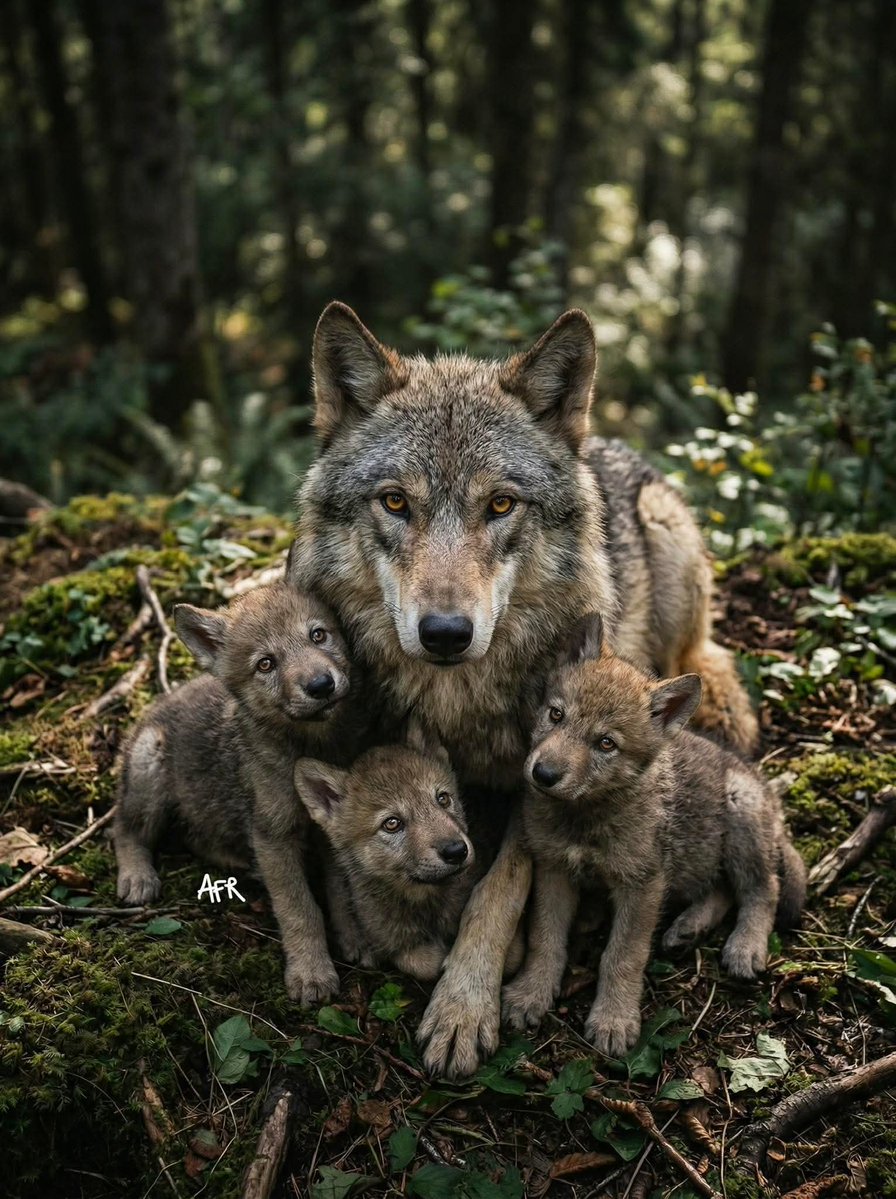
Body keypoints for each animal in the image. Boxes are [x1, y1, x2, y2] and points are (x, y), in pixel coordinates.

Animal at [114, 581, 360, 1005]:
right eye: (265, 664)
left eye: (318, 635)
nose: (320, 685)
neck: (306, 746)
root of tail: (154, 705)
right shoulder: (274, 835)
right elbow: (300, 908)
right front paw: (311, 973)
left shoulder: (328, 828)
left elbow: (340, 890)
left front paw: (354, 937)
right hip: (149, 767)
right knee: (123, 827)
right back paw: (136, 876)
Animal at [288, 301, 759, 1076]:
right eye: (396, 502)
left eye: (501, 505)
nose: (445, 632)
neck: (455, 703)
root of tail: (606, 446)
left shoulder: (527, 794)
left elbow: (497, 893)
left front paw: (463, 1009)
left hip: (671, 548)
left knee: (703, 652)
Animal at [502, 612, 806, 1057]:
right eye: (556, 716)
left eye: (606, 743)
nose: (543, 774)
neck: (585, 817)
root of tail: (768, 791)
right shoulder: (554, 870)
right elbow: (546, 938)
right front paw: (530, 994)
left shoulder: (642, 885)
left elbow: (621, 955)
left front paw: (614, 1019)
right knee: (721, 889)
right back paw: (687, 929)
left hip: (741, 819)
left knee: (762, 889)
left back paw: (745, 947)